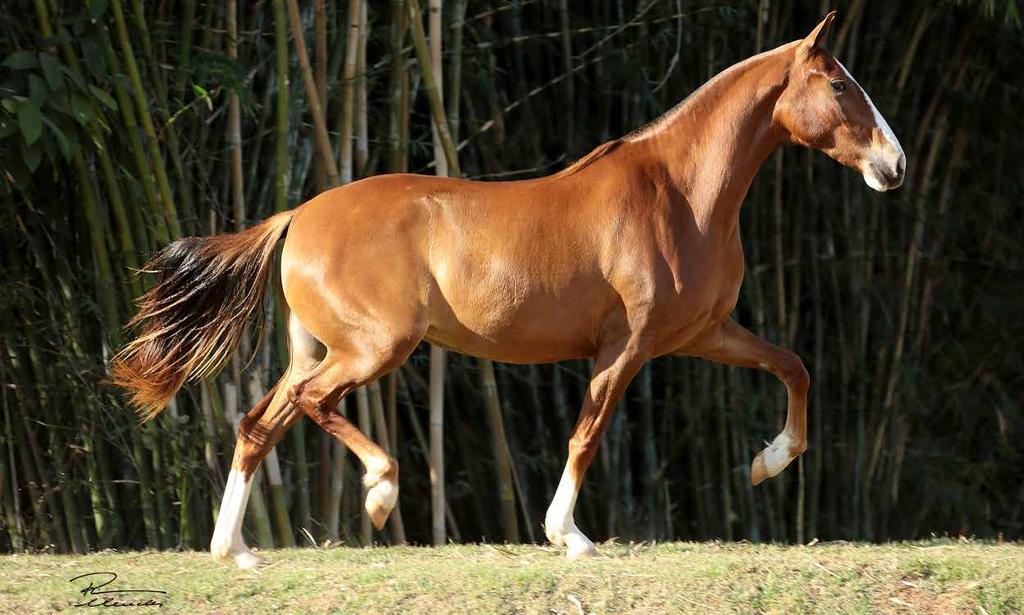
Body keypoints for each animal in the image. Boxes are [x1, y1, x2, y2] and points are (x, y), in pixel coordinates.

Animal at [112, 12, 905, 564]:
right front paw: (569, 537)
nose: (894, 166)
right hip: (374, 348)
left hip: (318, 350)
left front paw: (767, 463)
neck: (680, 194)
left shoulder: (704, 333)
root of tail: (297, 216)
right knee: (310, 406)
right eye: (841, 85)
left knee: (257, 423)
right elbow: (586, 433)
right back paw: (379, 492)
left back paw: (236, 551)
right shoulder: (628, 344)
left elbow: (794, 367)